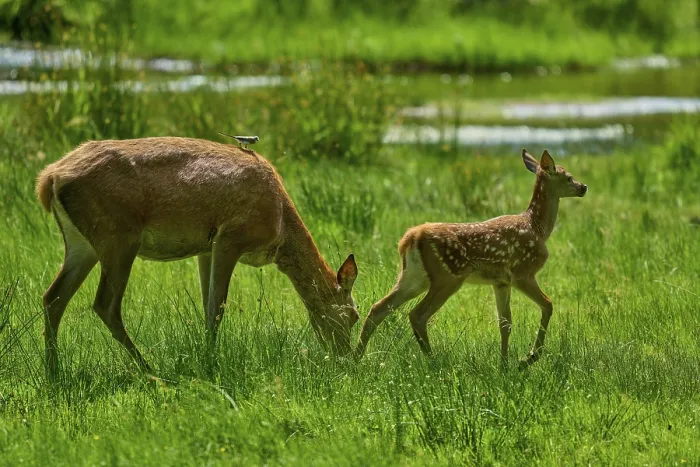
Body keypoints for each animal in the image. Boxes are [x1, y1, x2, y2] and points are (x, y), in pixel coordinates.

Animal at [36, 136, 360, 376]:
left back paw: (54, 371)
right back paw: (148, 369)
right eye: (353, 316)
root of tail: (49, 178)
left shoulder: (206, 248)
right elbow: (217, 307)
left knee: (53, 297)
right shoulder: (231, 237)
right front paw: (211, 362)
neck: (280, 227)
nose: (346, 359)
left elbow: (207, 305)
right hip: (118, 236)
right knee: (105, 304)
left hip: (81, 244)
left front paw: (207, 354)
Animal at [356, 149, 587, 367]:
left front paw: (505, 365)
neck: (537, 229)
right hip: (447, 276)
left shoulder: (501, 282)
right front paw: (528, 358)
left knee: (378, 308)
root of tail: (410, 237)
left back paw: (356, 358)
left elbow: (505, 323)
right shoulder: (523, 272)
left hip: (413, 276)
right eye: (568, 177)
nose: (583, 187)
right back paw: (434, 362)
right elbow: (548, 304)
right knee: (417, 315)